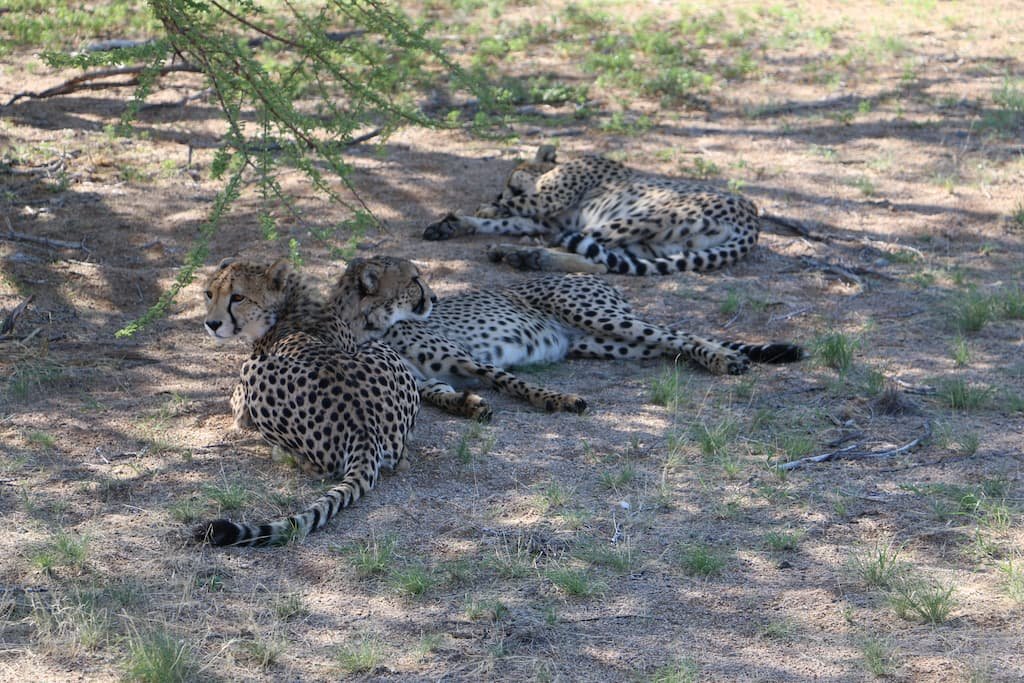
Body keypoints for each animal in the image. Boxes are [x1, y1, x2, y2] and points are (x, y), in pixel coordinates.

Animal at [194, 258, 432, 548]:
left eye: (238, 297)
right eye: (209, 294)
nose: (212, 324)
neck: (288, 303)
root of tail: (364, 426)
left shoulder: (243, 399)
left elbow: (236, 408)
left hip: (256, 369)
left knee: (318, 468)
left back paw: (282, 453)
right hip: (382, 350)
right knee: (403, 458)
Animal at [356, 255, 802, 419]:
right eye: (415, 282)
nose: (433, 298)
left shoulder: (467, 357)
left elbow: (514, 382)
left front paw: (559, 400)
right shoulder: (425, 379)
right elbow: (439, 394)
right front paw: (468, 405)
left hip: (598, 316)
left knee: (678, 334)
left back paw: (726, 359)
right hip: (605, 343)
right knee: (667, 341)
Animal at [423, 147, 782, 278]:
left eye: (512, 178)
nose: (500, 189)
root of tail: (754, 220)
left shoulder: (546, 202)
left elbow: (511, 209)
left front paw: (485, 207)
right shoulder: (543, 219)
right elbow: (501, 221)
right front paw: (453, 224)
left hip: (642, 216)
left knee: (592, 255)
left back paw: (523, 254)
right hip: (650, 245)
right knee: (602, 262)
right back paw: (526, 255)